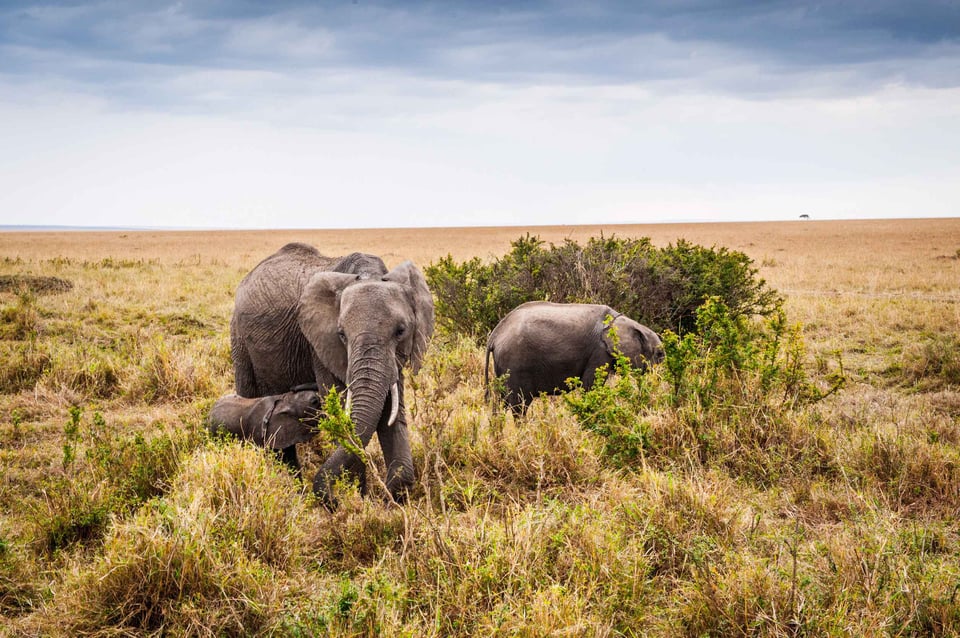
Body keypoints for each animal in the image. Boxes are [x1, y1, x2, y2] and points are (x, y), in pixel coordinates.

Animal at [230, 242, 434, 505]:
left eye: (401, 331)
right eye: (341, 335)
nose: (331, 500)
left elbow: (391, 410)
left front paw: (390, 496)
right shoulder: (319, 346)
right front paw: (355, 498)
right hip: (239, 340)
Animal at [485, 301, 664, 414]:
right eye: (660, 355)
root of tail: (495, 335)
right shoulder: (599, 352)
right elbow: (590, 387)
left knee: (501, 403)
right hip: (515, 363)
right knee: (519, 405)